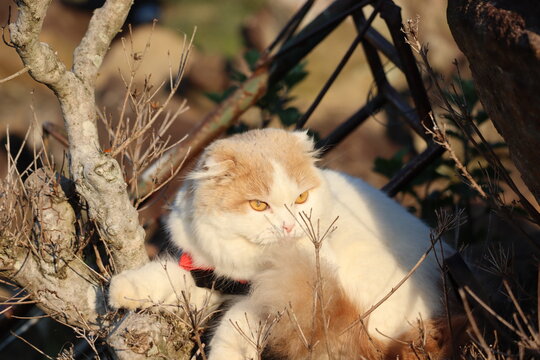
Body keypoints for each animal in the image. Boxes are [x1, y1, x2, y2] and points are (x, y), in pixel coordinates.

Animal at [107, 128, 462, 358]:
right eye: (258, 205)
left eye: (301, 198)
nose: (290, 225)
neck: (244, 261)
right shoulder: (206, 273)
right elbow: (164, 277)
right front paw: (118, 291)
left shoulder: (271, 296)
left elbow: (232, 325)